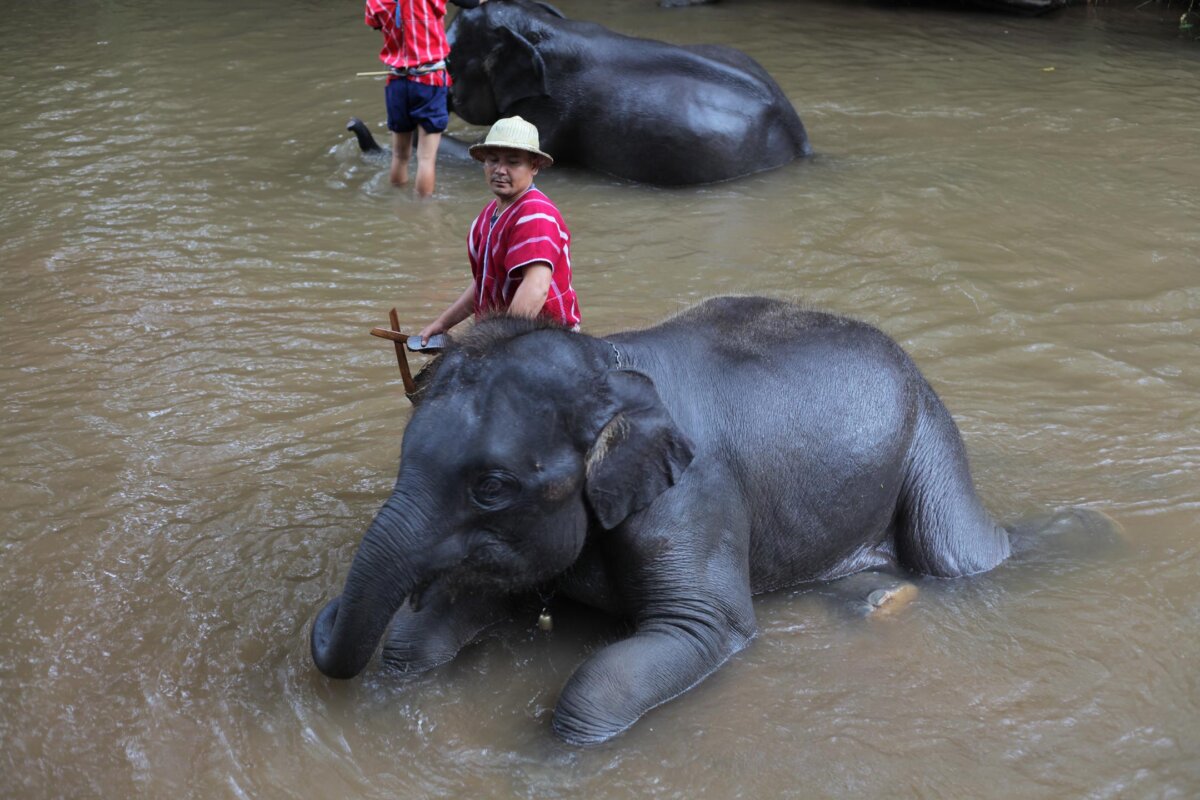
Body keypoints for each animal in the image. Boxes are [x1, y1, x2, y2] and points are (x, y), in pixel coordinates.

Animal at [309, 297, 1012, 748]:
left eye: (491, 487)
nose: (330, 610)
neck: (609, 364)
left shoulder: (695, 497)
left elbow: (701, 628)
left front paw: (551, 757)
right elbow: (416, 642)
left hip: (930, 438)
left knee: (959, 555)